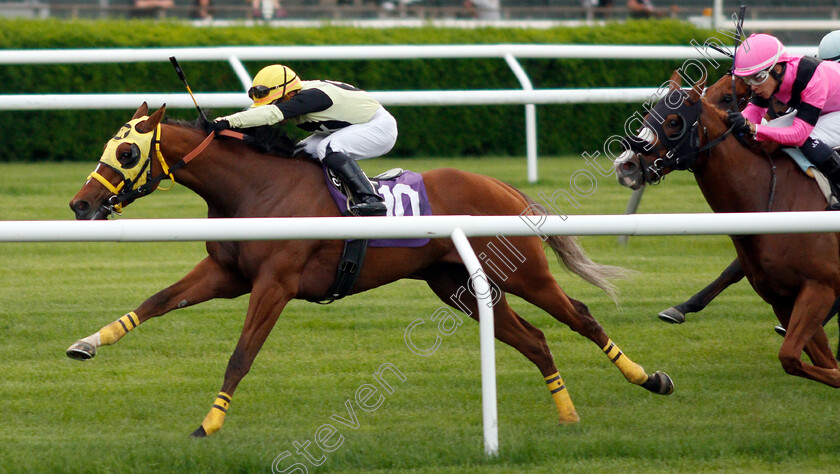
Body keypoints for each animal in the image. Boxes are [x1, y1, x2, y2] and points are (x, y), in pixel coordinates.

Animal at [65, 103, 672, 436]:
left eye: (125, 153)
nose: (80, 204)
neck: (255, 189)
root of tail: (502, 187)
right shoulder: (226, 275)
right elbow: (155, 302)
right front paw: (88, 343)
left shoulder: (274, 284)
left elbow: (241, 355)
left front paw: (209, 424)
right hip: (456, 285)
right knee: (536, 340)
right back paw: (567, 414)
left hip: (524, 274)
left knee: (581, 316)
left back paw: (650, 379)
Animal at [612, 71, 840, 388]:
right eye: (647, 116)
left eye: (673, 122)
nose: (625, 166)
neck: (773, 196)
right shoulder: (782, 299)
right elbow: (808, 359)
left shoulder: (821, 288)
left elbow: (793, 356)